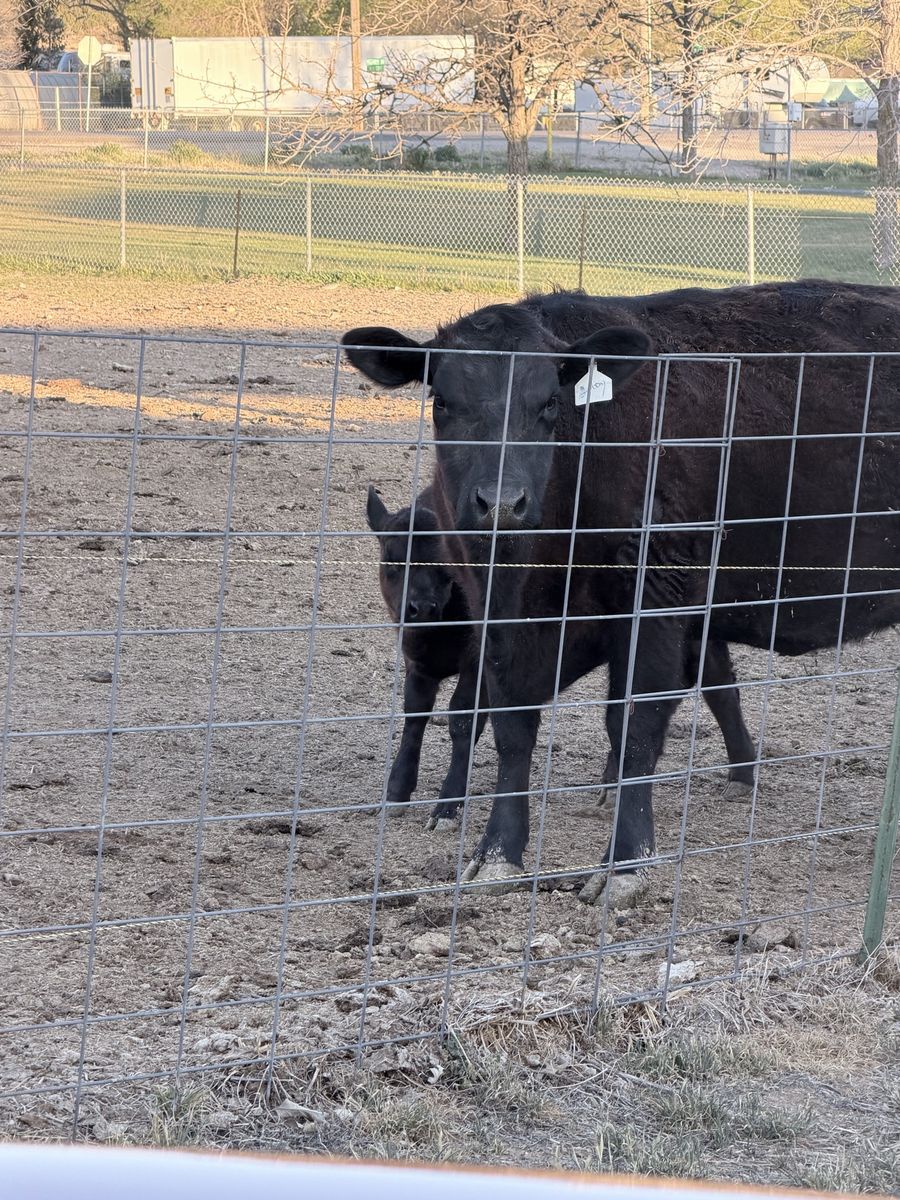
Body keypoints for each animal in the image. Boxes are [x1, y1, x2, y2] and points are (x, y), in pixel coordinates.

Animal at [344, 281, 900, 908]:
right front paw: (497, 852)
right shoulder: (499, 626)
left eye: (551, 404)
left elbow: (635, 725)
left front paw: (627, 860)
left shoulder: (656, 596)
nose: (501, 504)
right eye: (441, 401)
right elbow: (510, 727)